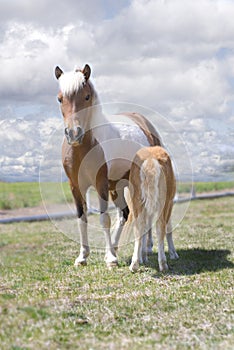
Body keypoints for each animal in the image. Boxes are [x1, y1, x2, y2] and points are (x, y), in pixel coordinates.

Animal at [54, 64, 161, 268]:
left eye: (87, 96)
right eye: (60, 98)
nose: (73, 133)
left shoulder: (100, 183)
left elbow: (104, 219)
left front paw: (111, 259)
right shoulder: (76, 187)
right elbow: (82, 219)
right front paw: (83, 257)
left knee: (145, 213)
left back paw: (146, 248)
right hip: (117, 187)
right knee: (125, 214)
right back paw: (116, 248)